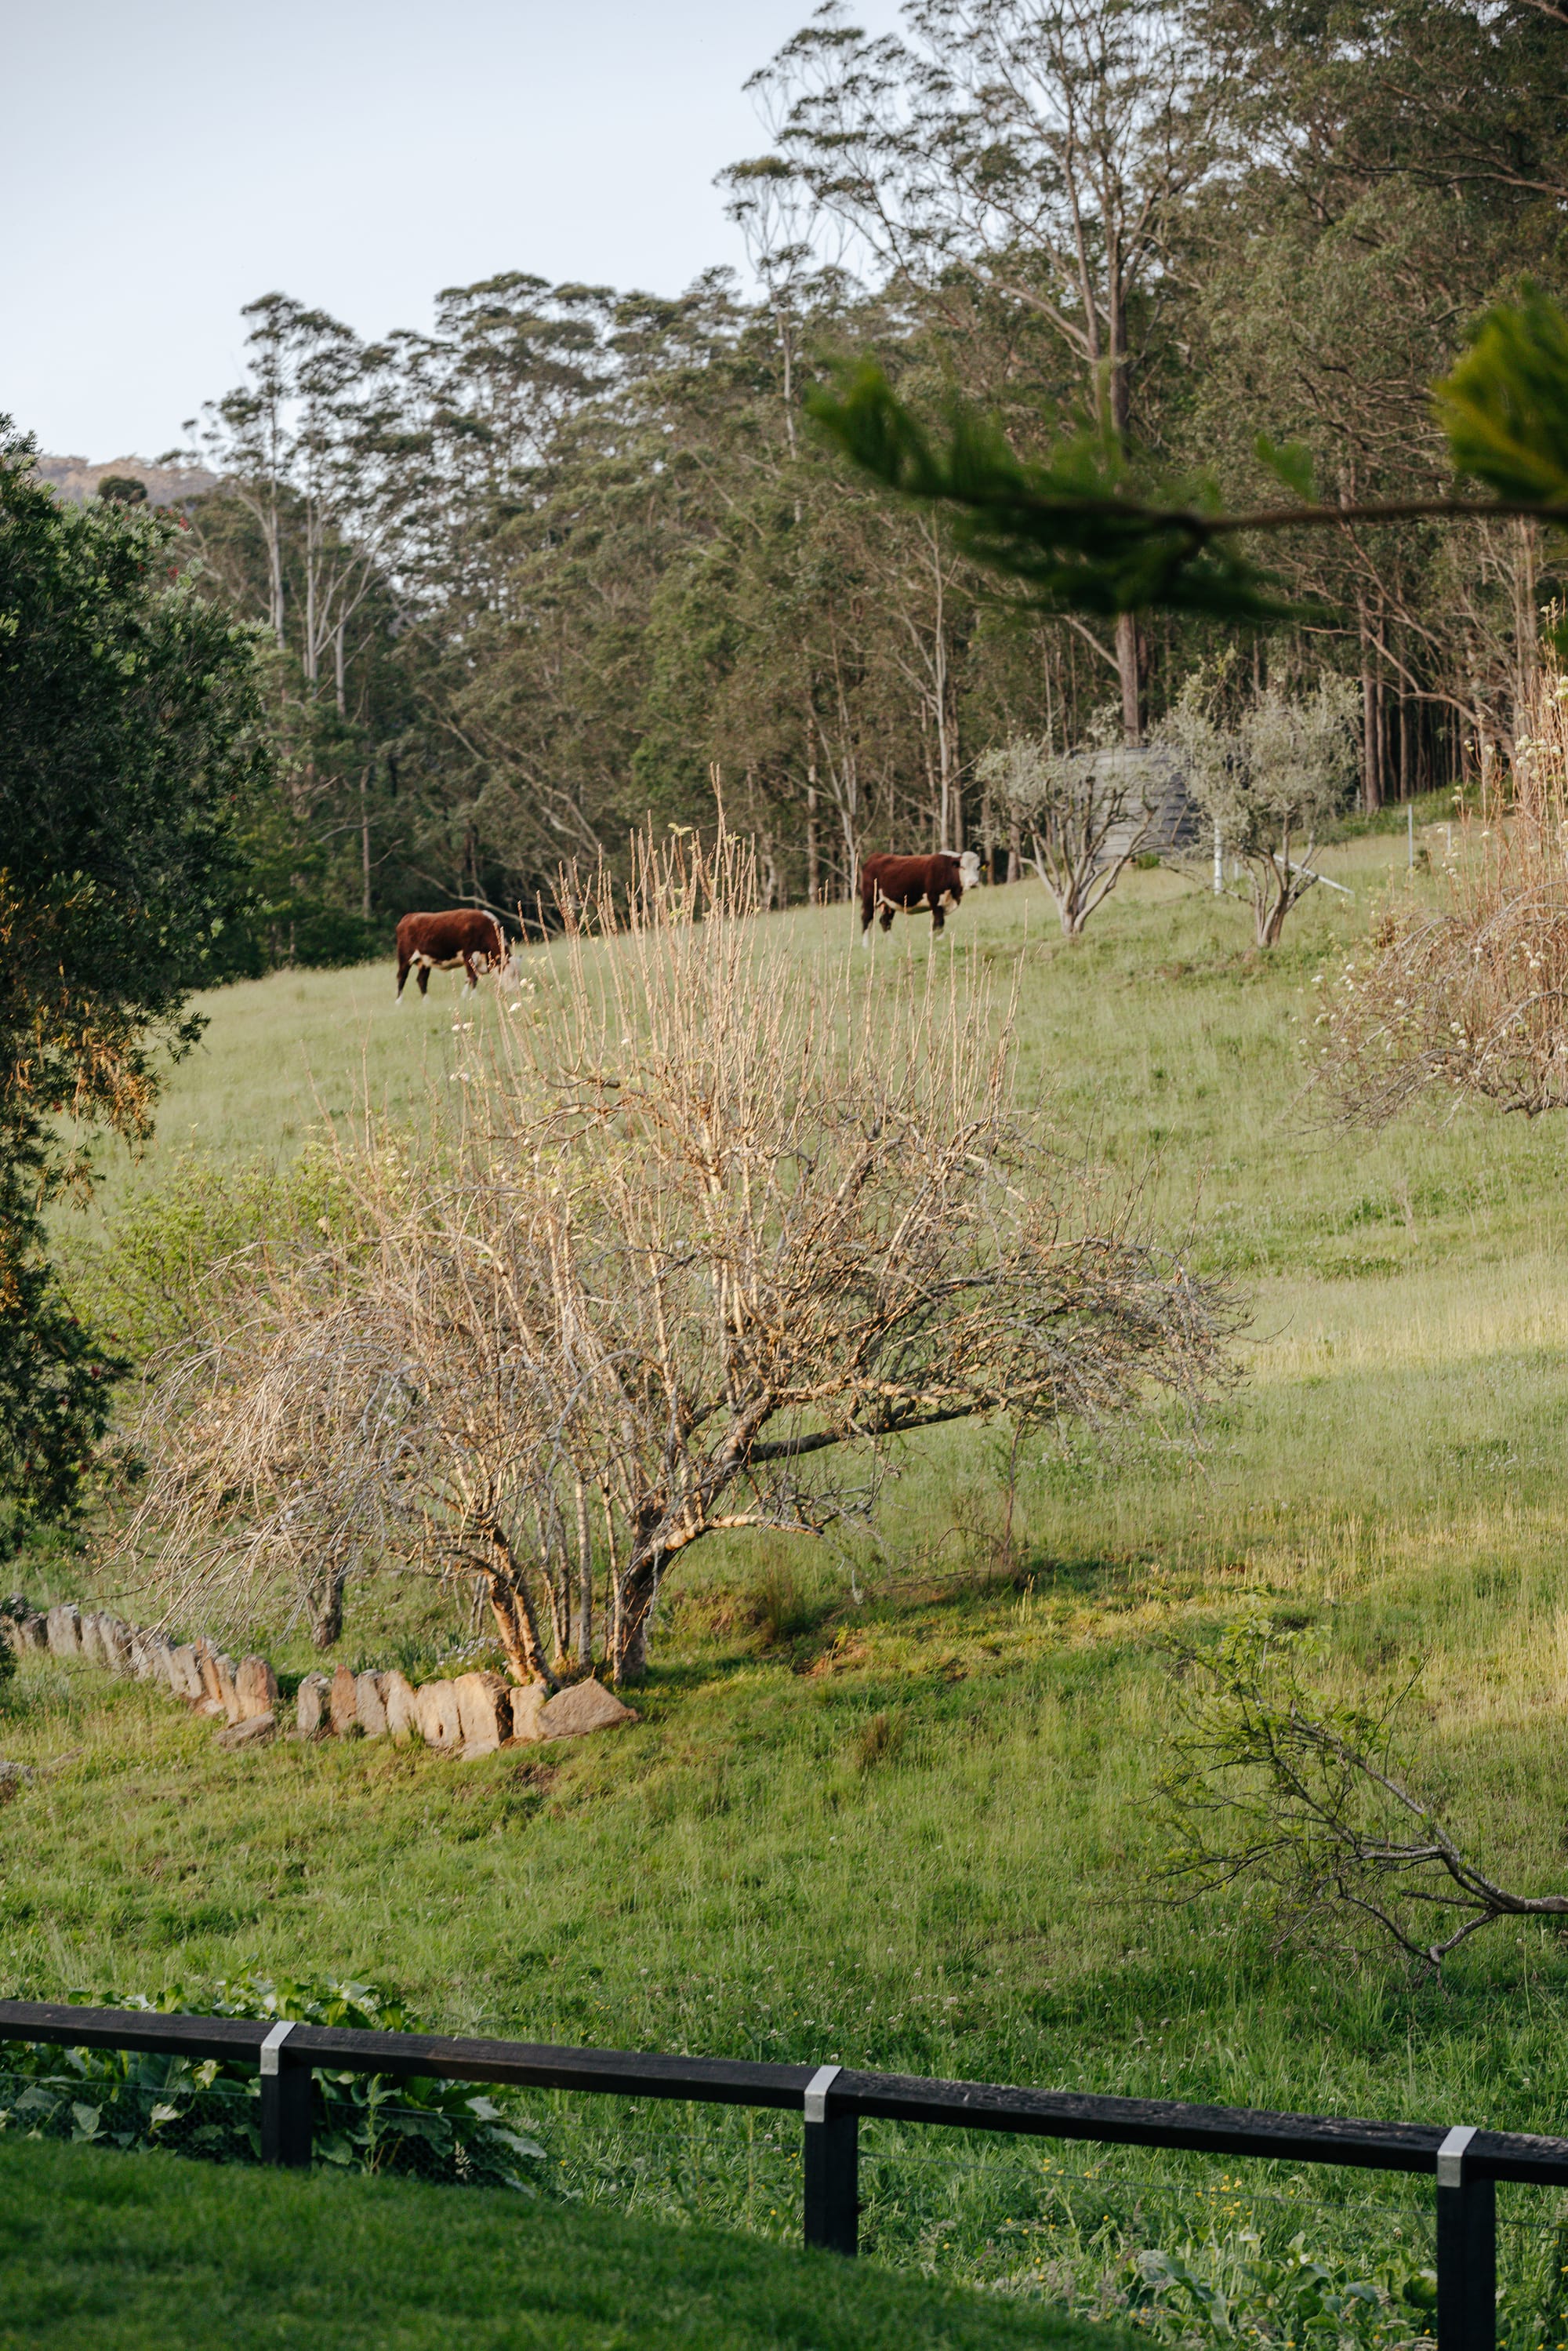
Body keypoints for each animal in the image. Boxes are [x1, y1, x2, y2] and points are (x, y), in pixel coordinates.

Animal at [392, 912, 521, 997]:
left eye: (518, 974)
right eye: (509, 974)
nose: (515, 991)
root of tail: (408, 917)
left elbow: (470, 978)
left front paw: (467, 996)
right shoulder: (469, 956)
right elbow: (472, 977)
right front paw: (472, 996)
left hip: (424, 961)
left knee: (421, 980)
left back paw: (426, 1002)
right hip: (405, 958)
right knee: (401, 977)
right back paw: (399, 1002)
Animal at [860, 856, 982, 945]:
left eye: (978, 867)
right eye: (963, 867)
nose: (973, 882)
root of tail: (876, 856)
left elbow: (935, 923)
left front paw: (933, 937)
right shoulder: (935, 901)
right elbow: (939, 922)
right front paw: (940, 939)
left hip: (888, 904)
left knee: (885, 921)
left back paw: (893, 944)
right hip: (870, 899)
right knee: (867, 918)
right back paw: (866, 945)